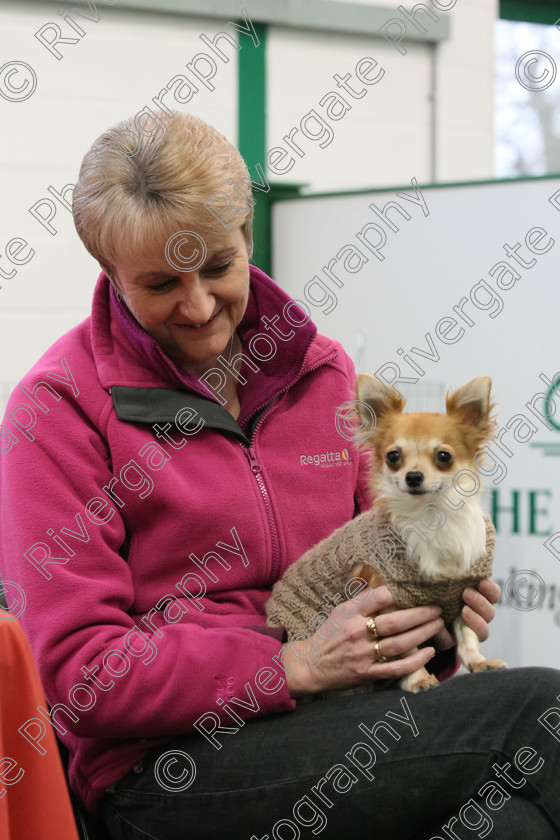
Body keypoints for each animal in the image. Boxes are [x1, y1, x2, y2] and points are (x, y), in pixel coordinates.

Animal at [354, 378, 508, 692]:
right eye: (393, 456)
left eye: (443, 457)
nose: (413, 476)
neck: (432, 516)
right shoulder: (389, 607)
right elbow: (406, 650)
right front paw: (418, 677)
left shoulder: (462, 592)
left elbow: (467, 634)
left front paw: (478, 661)